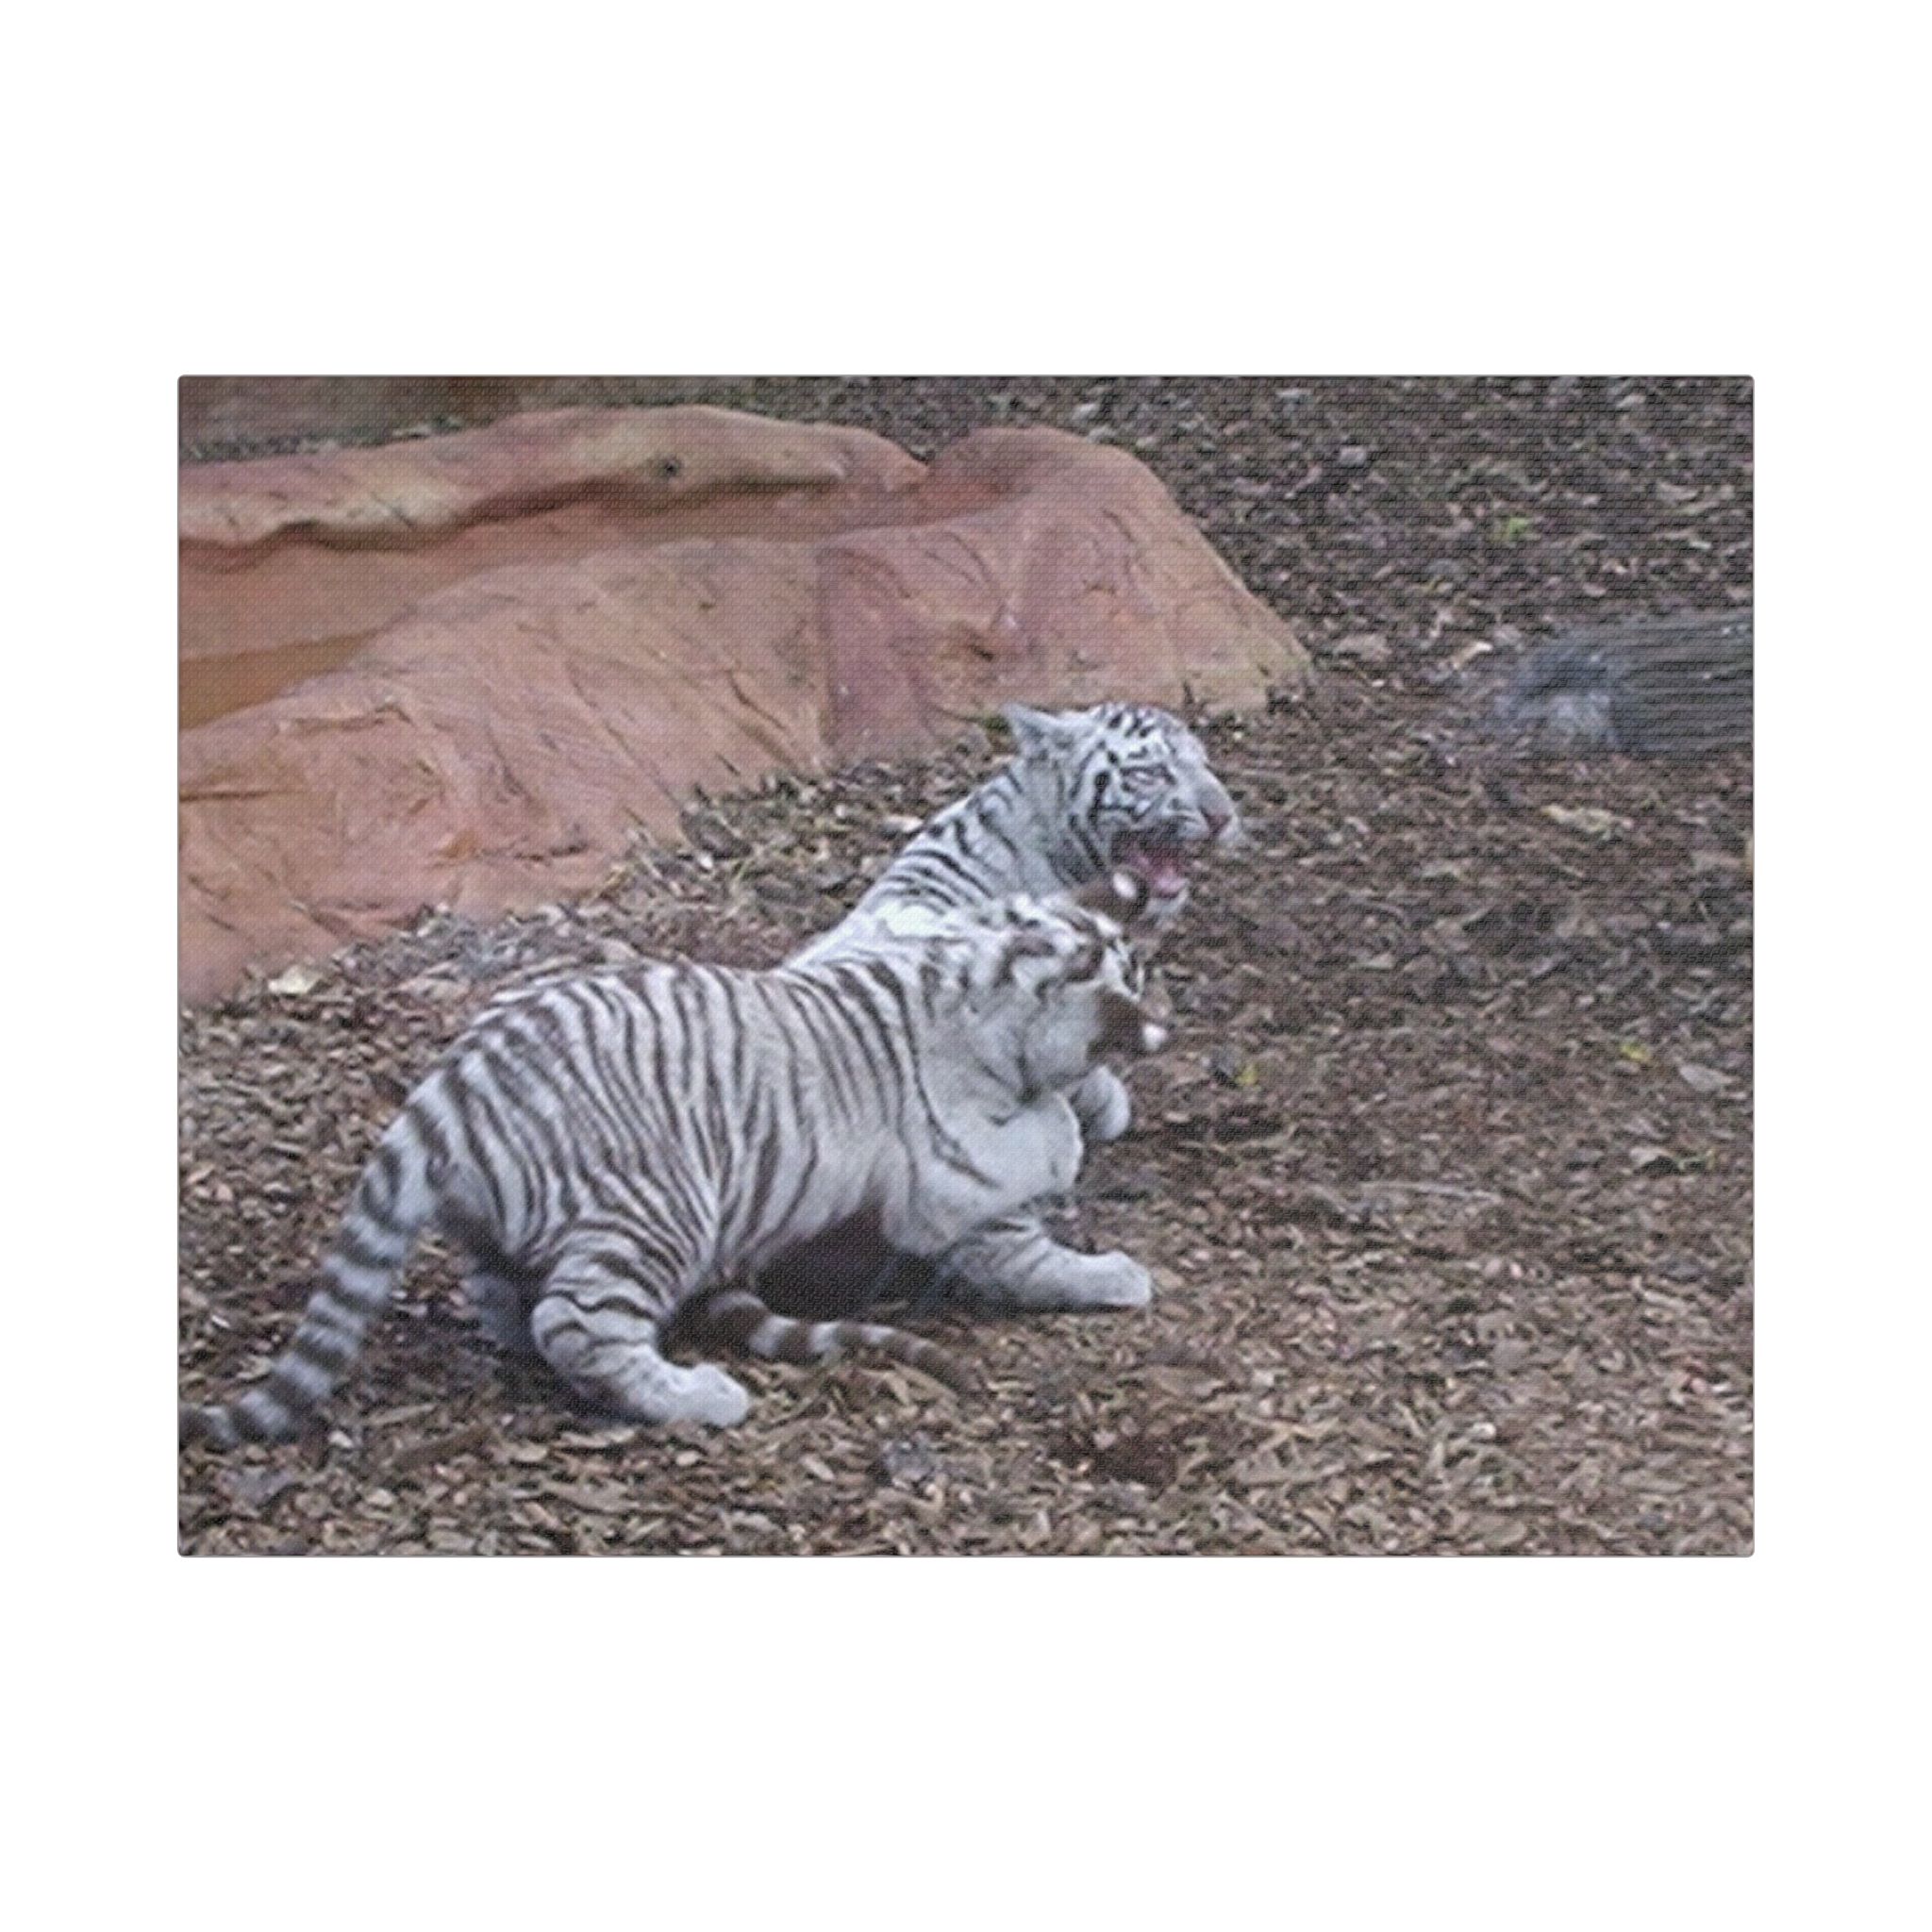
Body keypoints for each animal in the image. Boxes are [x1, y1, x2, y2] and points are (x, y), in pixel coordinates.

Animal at [179, 875, 1167, 1447]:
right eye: (1127, 984)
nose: (1161, 1025)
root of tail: (455, 1082)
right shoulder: (966, 1193)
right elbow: (1033, 1246)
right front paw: (1113, 1270)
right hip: (657, 1212)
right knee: (577, 1323)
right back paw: (696, 1396)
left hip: (508, 1227)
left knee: (508, 1303)